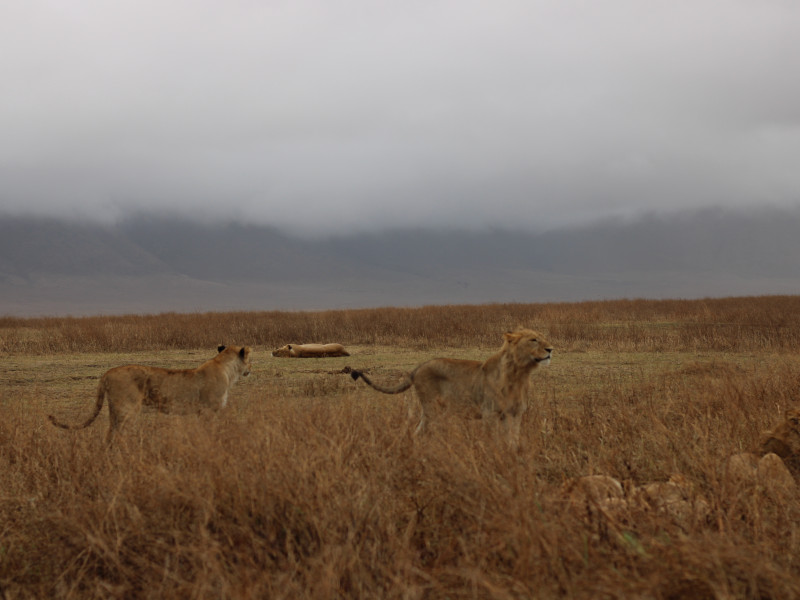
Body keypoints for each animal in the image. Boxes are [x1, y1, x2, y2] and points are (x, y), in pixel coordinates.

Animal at [50, 344, 250, 442]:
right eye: (250, 359)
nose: (250, 370)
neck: (226, 368)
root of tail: (107, 373)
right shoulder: (209, 410)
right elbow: (210, 431)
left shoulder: (202, 412)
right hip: (128, 409)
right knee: (120, 434)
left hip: (114, 410)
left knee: (110, 434)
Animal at [344, 326, 552, 448]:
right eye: (533, 340)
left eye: (543, 338)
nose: (551, 349)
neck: (519, 373)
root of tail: (418, 367)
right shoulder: (489, 413)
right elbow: (492, 439)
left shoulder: (515, 414)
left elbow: (512, 440)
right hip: (432, 408)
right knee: (422, 430)